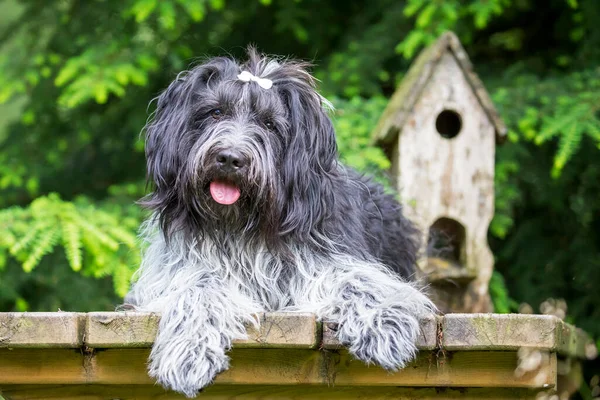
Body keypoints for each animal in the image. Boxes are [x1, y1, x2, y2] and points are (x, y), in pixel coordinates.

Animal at [125, 47, 436, 396]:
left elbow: (357, 279)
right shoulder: (175, 271)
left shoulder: (324, 256)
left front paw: (383, 326)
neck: (243, 226)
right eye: (215, 112)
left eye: (270, 124)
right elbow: (198, 287)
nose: (230, 158)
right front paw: (188, 353)